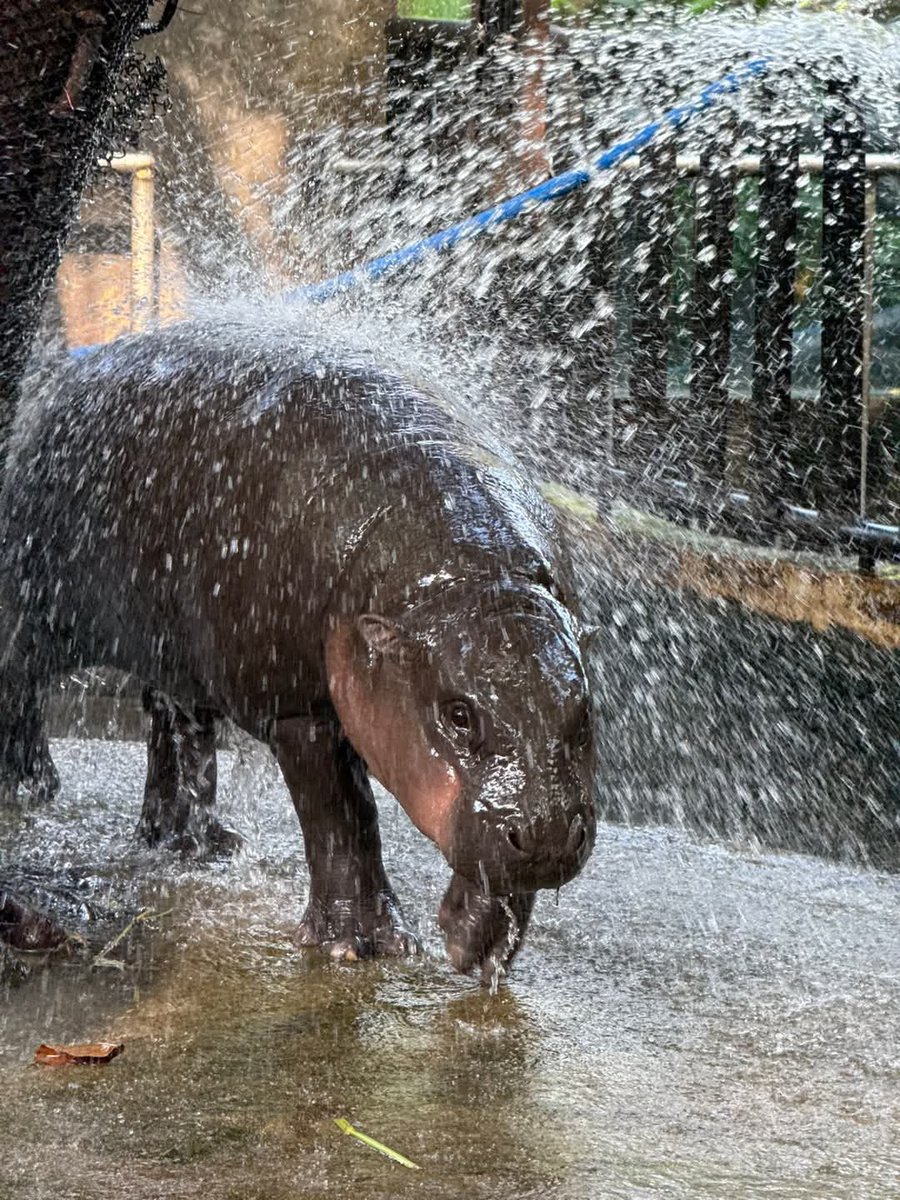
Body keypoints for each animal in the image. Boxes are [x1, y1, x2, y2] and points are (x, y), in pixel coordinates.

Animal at [0, 320, 596, 978]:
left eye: (584, 714)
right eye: (459, 714)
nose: (548, 833)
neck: (460, 576)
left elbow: (491, 852)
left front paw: (475, 949)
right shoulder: (297, 708)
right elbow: (341, 816)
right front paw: (359, 945)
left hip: (175, 650)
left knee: (175, 729)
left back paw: (195, 848)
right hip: (40, 604)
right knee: (18, 678)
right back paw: (29, 790)